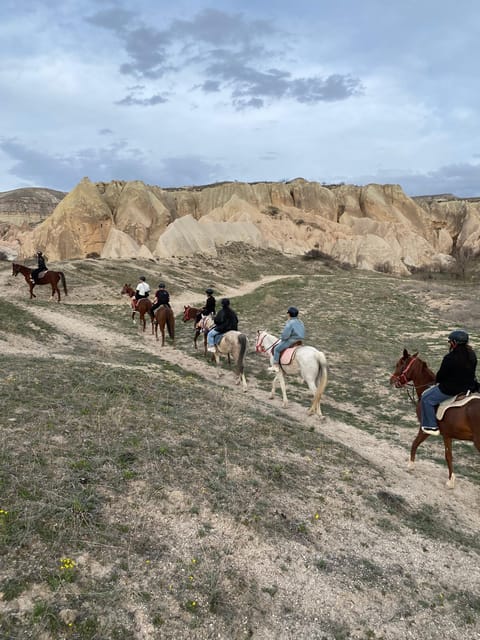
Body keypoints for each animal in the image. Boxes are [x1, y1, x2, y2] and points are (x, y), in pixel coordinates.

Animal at [390, 350, 480, 490]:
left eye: (400, 364)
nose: (392, 380)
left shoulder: (425, 428)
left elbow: (415, 443)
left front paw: (410, 465)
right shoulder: (447, 435)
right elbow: (449, 456)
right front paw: (451, 480)